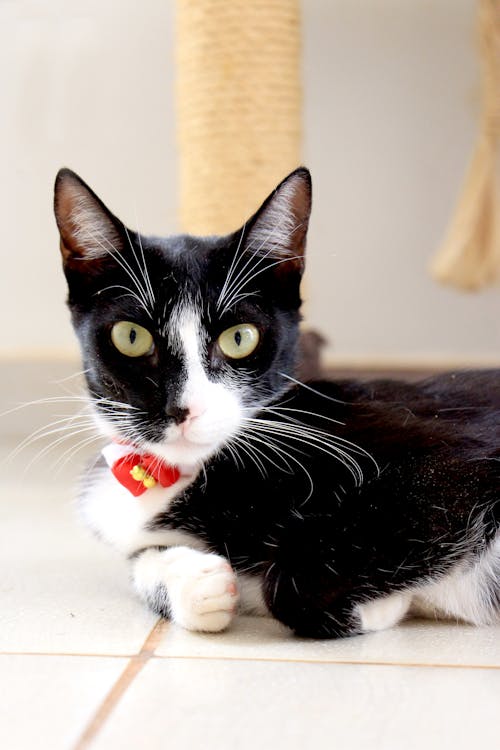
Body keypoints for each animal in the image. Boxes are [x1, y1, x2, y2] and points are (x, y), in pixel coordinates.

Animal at [53, 169, 500, 640]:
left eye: (240, 337)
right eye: (131, 336)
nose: (183, 410)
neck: (177, 475)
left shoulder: (450, 464)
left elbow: (291, 584)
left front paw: (379, 609)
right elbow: (140, 560)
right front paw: (197, 582)